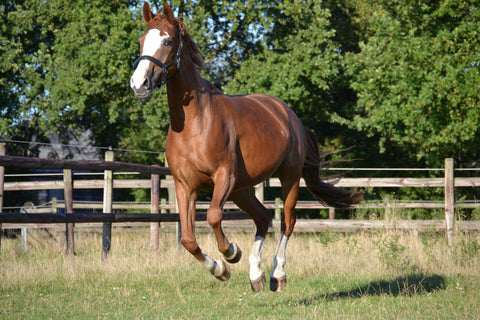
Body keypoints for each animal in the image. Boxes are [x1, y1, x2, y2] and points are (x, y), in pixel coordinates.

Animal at [129, 3, 362, 292]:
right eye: (142, 40)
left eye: (167, 41)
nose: (139, 84)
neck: (195, 122)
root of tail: (289, 115)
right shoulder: (185, 185)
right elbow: (188, 239)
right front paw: (220, 269)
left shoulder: (223, 177)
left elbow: (214, 216)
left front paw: (231, 253)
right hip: (242, 189)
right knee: (263, 217)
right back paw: (255, 275)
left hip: (288, 179)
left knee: (287, 222)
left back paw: (276, 274)